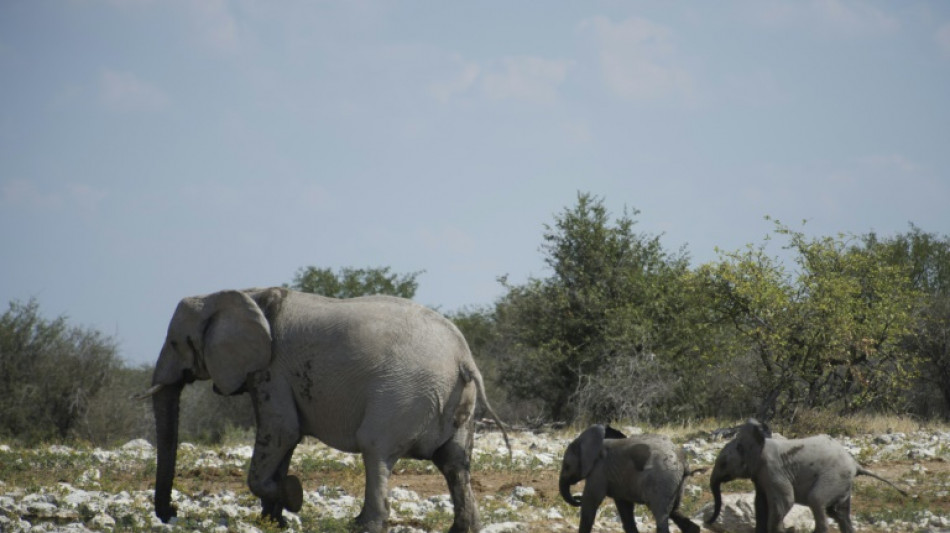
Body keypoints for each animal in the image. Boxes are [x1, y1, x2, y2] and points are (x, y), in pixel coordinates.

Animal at [138, 286, 510, 532]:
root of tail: (463, 357)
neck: (242, 293)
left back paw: (362, 525)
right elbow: (284, 440)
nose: (170, 512)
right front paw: (272, 520)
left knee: (375, 448)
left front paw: (293, 496)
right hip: (455, 401)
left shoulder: (271, 368)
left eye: (175, 343)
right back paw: (463, 529)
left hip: (403, 393)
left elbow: (282, 431)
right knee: (454, 461)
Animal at [556, 424, 700, 532]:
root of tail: (683, 462)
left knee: (661, 514)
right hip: (675, 484)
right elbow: (624, 507)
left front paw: (583, 499)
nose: (577, 497)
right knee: (674, 511)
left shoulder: (599, 470)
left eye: (567, 466)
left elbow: (591, 500)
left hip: (663, 480)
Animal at [712, 418, 912, 528]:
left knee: (817, 501)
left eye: (722, 463)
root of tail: (856, 465)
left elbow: (784, 503)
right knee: (839, 513)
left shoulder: (773, 471)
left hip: (834, 477)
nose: (709, 522)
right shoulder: (760, 476)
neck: (759, 442)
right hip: (843, 484)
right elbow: (761, 506)